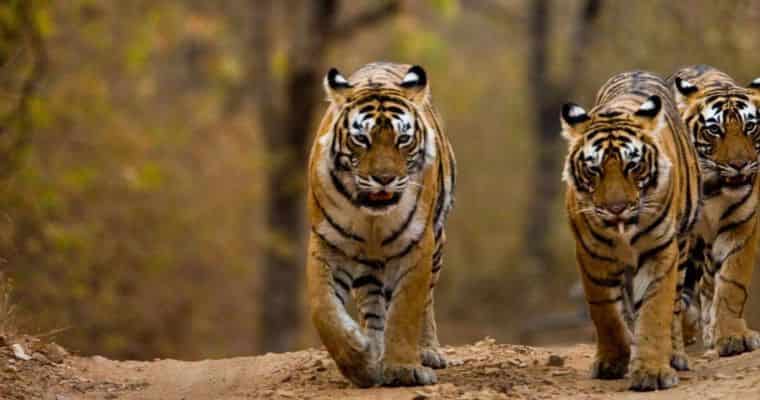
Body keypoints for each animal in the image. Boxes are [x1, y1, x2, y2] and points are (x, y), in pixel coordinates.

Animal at [304, 62, 458, 388]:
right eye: (362, 139)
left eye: (403, 139)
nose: (384, 178)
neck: (371, 215)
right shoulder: (326, 242)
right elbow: (324, 309)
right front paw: (358, 363)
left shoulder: (418, 243)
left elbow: (406, 309)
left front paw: (403, 369)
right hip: (368, 264)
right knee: (373, 307)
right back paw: (373, 350)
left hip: (437, 243)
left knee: (426, 301)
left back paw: (426, 351)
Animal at [560, 72, 700, 390]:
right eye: (594, 170)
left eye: (633, 166)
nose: (617, 208)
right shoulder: (592, 255)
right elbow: (605, 312)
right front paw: (612, 362)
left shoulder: (661, 250)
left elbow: (655, 309)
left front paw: (652, 371)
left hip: (683, 244)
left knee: (675, 306)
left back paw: (675, 355)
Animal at [668, 65, 760, 356]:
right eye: (714, 130)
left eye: (750, 127)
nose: (740, 164)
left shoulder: (740, 226)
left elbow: (731, 284)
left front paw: (732, 336)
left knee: (708, 285)